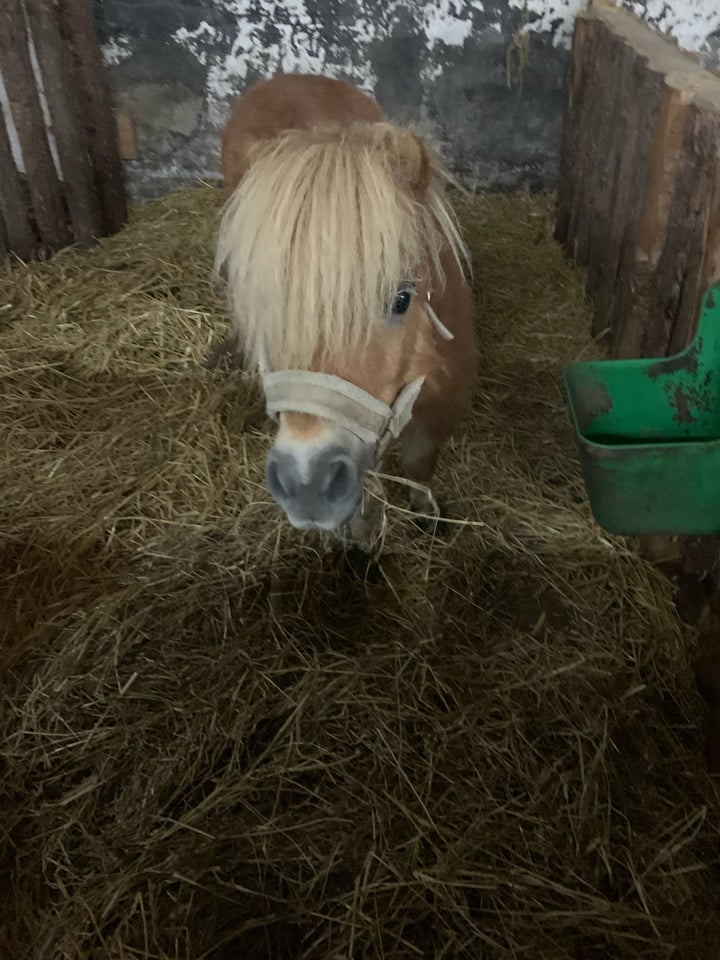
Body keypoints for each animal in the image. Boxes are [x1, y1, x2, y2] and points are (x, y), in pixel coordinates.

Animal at [214, 74, 476, 544]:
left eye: (401, 299)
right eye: (267, 306)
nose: (306, 483)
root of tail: (285, 77)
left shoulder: (446, 402)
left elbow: (420, 464)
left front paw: (426, 510)